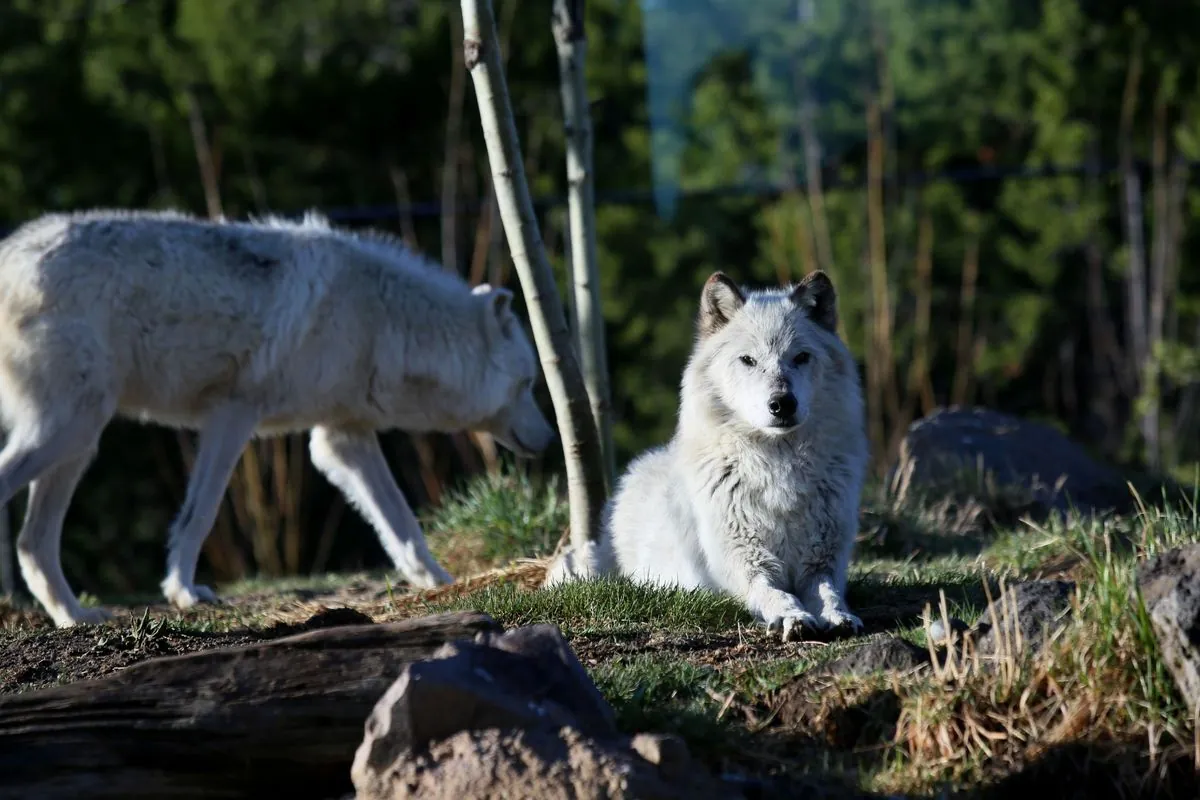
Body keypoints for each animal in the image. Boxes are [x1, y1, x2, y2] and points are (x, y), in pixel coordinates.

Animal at [0, 209, 552, 628]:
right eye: (528, 384)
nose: (549, 439)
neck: (383, 320)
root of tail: (10, 255)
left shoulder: (343, 437)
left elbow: (401, 523)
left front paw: (437, 580)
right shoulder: (233, 416)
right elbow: (198, 516)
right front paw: (185, 592)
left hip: (79, 443)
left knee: (31, 544)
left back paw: (76, 618)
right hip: (70, 430)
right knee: (27, 527)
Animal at [549, 272, 868, 642]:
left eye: (801, 357)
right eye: (748, 360)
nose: (782, 403)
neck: (779, 469)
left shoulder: (824, 562)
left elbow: (828, 592)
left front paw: (838, 615)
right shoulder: (745, 562)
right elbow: (775, 593)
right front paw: (793, 616)